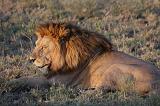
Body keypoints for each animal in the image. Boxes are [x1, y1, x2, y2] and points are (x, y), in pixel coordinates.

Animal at [29, 22, 159, 95]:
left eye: (44, 47)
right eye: (35, 45)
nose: (30, 59)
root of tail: (157, 84)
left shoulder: (56, 81)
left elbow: (29, 80)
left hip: (115, 67)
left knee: (101, 90)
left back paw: (78, 92)